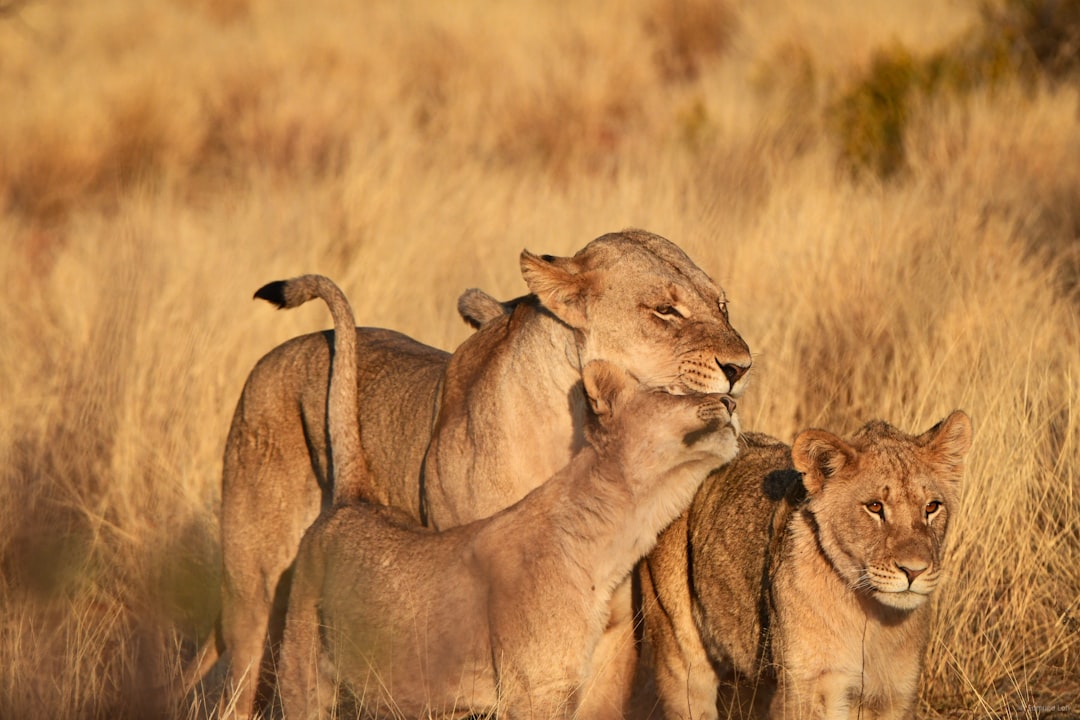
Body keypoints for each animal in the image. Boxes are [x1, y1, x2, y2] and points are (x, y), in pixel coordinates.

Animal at [186, 230, 753, 718]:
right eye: (665, 310)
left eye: (723, 304)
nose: (742, 368)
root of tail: (286, 349)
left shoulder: (611, 639)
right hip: (257, 600)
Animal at [633, 412, 972, 720]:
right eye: (875, 507)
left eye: (931, 507)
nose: (914, 571)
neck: (872, 621)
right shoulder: (809, 689)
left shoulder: (895, 695)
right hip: (680, 655)